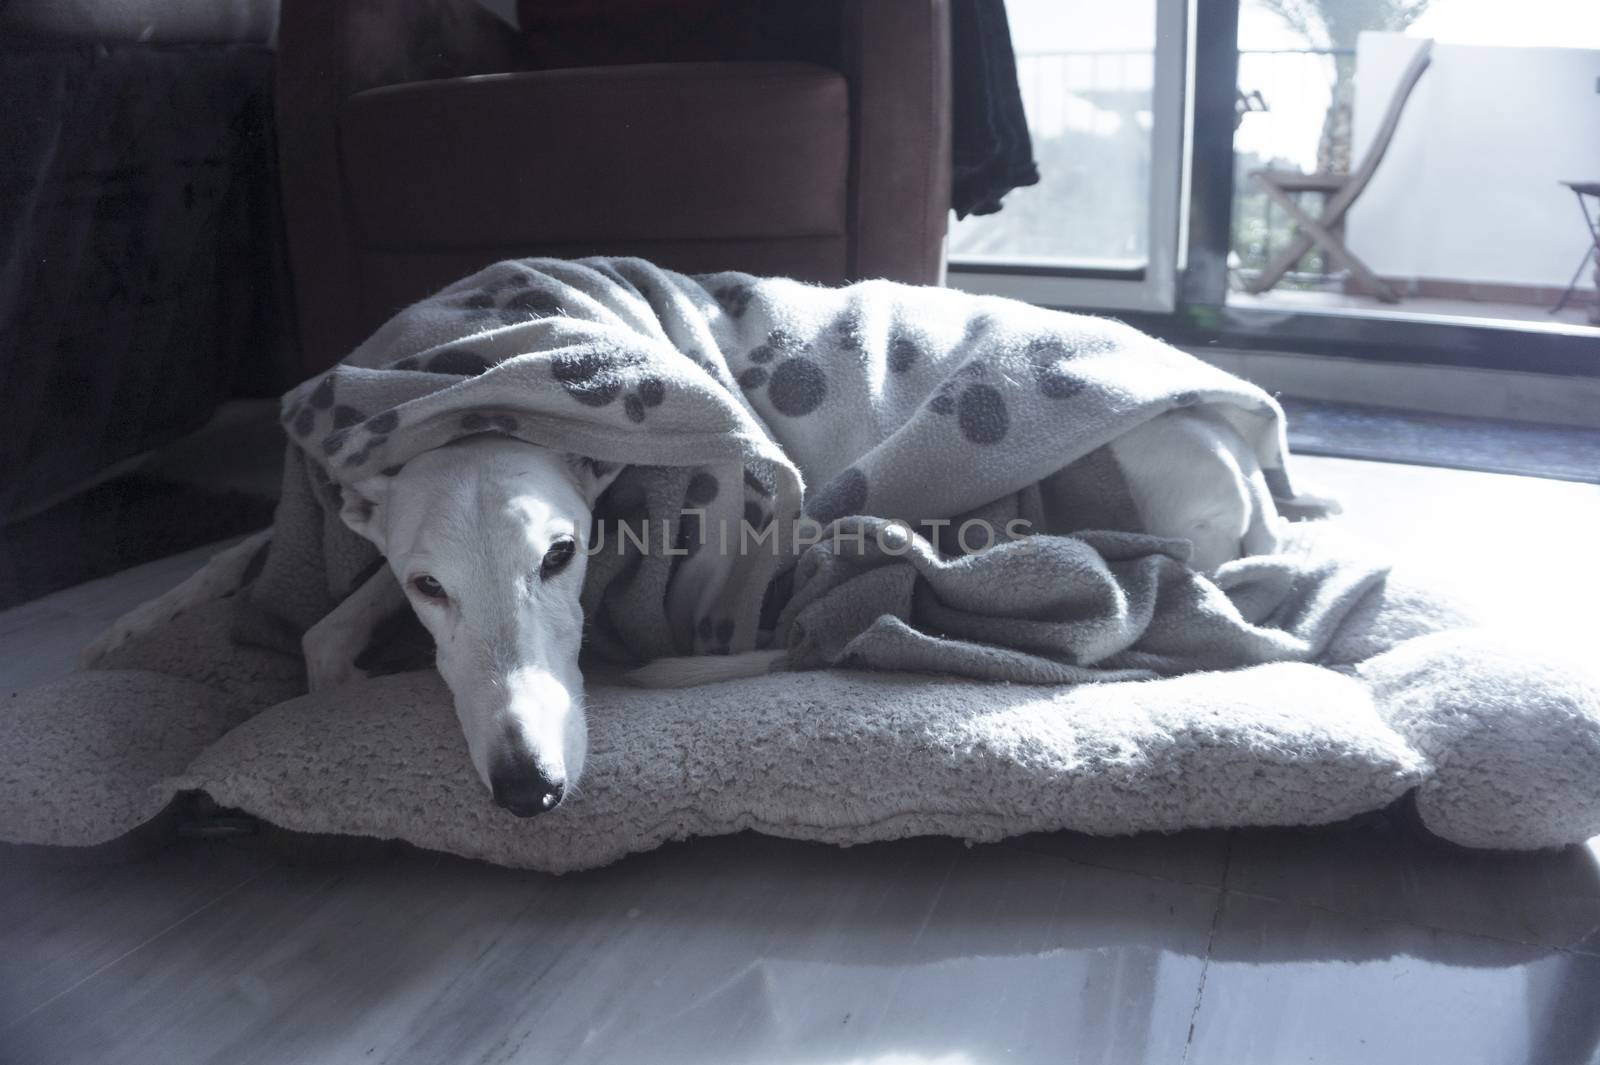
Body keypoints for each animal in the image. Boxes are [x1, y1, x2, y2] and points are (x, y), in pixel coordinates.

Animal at [87, 406, 1280, 812]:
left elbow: (670, 662)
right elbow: (318, 619)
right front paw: (149, 619)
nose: (528, 790)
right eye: (433, 587)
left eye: (562, 552)